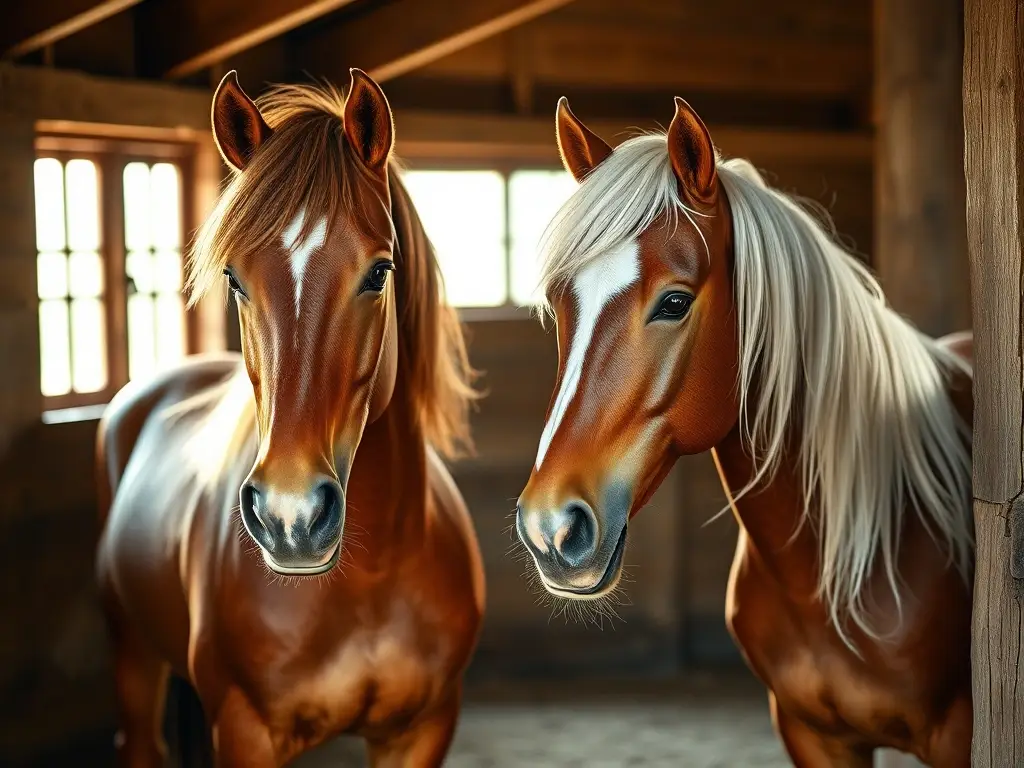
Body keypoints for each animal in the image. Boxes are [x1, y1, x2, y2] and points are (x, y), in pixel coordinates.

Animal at [95, 69, 485, 767]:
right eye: (234, 278)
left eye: (379, 272)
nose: (291, 516)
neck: (370, 579)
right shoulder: (245, 731)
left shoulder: (423, 729)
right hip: (132, 655)